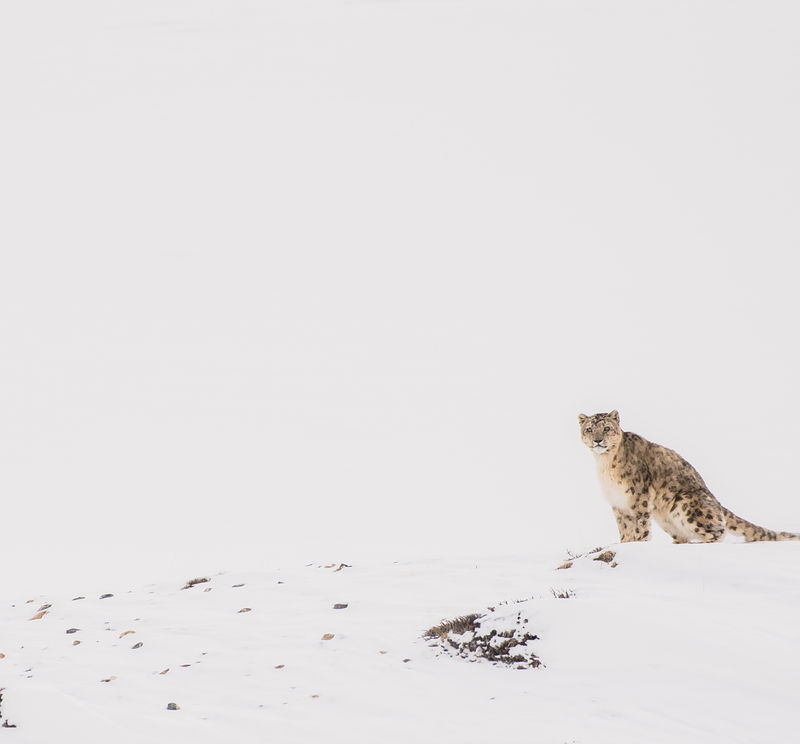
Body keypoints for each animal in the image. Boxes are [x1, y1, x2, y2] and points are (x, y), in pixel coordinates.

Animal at [578, 410, 800, 543]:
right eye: (589, 429)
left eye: (607, 428)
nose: (598, 440)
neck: (604, 464)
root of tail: (716, 501)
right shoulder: (617, 504)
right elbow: (624, 528)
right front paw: (625, 543)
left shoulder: (638, 498)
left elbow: (640, 527)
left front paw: (638, 543)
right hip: (666, 520)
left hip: (685, 504)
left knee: (718, 532)